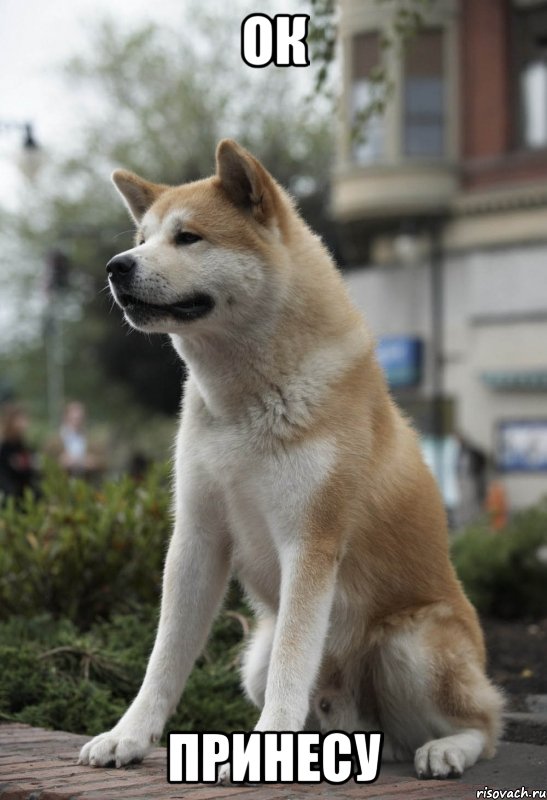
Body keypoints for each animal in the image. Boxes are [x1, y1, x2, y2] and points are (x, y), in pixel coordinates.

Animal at [78, 139, 506, 780]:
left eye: (188, 237)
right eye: (143, 236)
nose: (116, 265)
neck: (245, 402)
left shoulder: (311, 541)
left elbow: (292, 661)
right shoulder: (197, 538)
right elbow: (165, 658)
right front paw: (128, 735)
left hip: (410, 645)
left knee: (485, 725)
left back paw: (446, 749)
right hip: (253, 656)